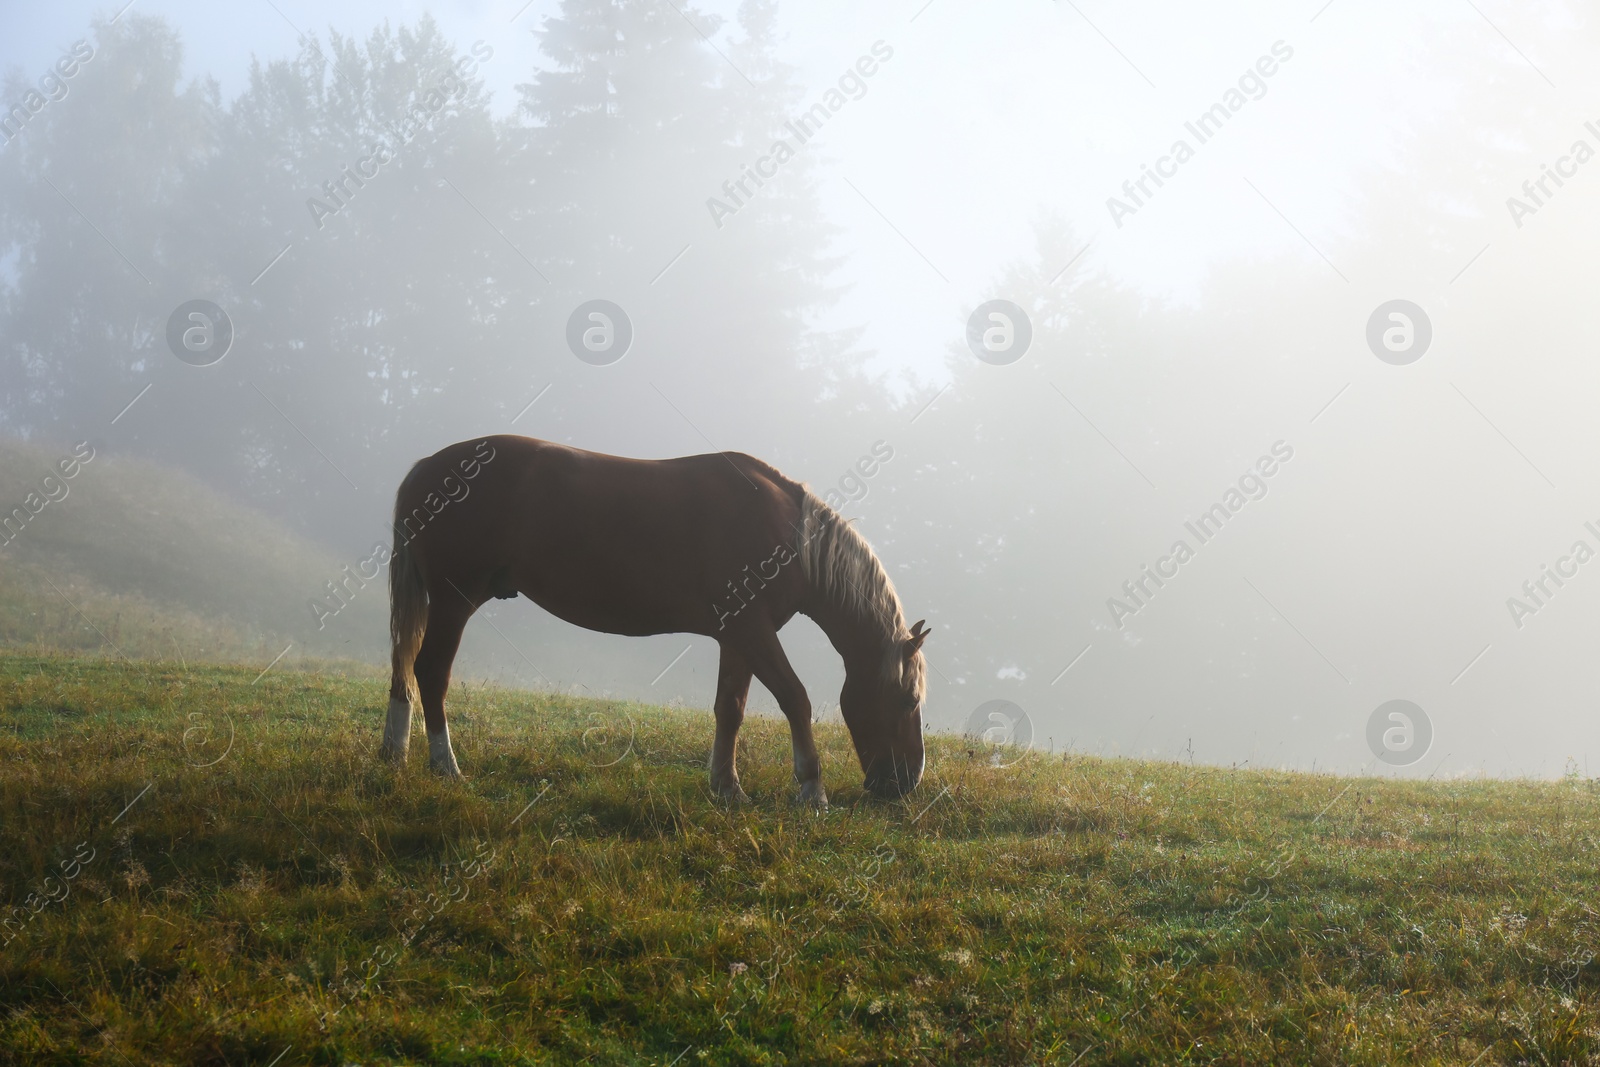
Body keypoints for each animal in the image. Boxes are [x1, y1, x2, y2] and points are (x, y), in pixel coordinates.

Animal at [377, 431, 928, 799]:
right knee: (430, 672)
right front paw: (811, 789)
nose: (906, 783)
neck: (789, 536)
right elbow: (795, 698)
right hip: (454, 602)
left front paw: (726, 787)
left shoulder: (738, 636)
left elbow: (730, 708)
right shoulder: (753, 631)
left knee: (404, 672)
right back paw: (446, 766)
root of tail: (427, 468)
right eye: (907, 699)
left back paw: (395, 752)